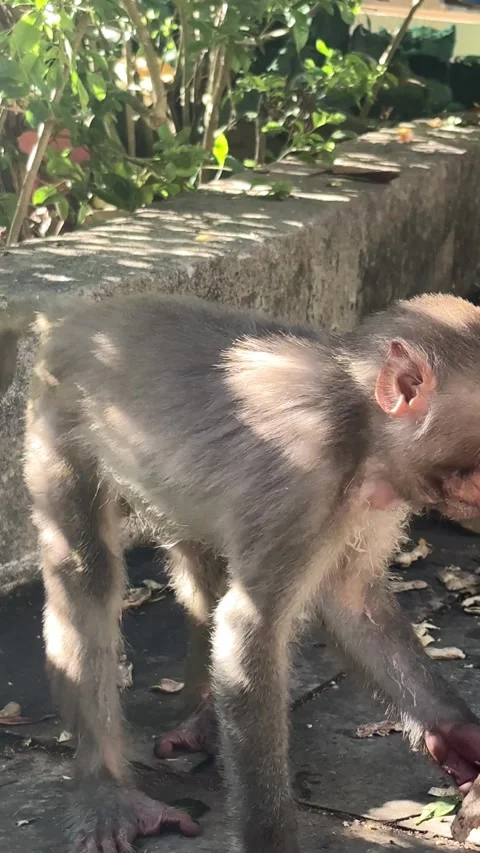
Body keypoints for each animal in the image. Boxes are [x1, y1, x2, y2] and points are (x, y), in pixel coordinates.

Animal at [6, 289, 480, 852]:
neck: (362, 430)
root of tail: (82, 314)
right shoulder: (303, 483)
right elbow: (249, 628)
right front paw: (270, 838)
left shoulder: (383, 494)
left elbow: (352, 602)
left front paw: (460, 736)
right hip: (58, 413)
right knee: (85, 573)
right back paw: (106, 792)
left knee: (202, 562)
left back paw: (203, 719)